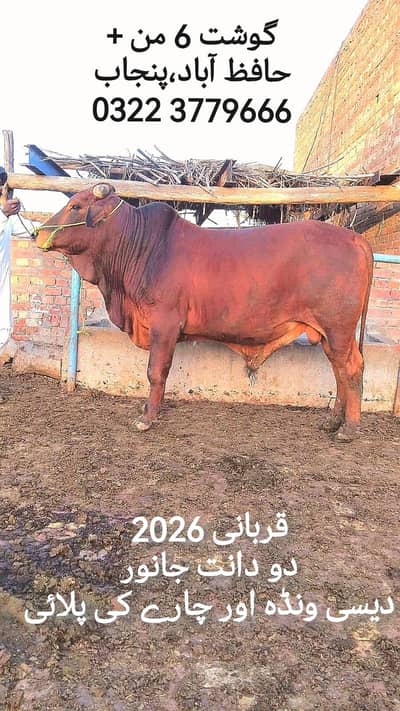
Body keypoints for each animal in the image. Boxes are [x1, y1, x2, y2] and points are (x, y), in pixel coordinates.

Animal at [34, 183, 373, 441]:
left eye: (76, 206)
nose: (38, 233)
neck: (140, 246)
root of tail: (355, 238)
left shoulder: (165, 324)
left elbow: (156, 372)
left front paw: (147, 417)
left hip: (338, 330)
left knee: (352, 369)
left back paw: (349, 428)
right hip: (330, 335)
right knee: (340, 372)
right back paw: (332, 421)